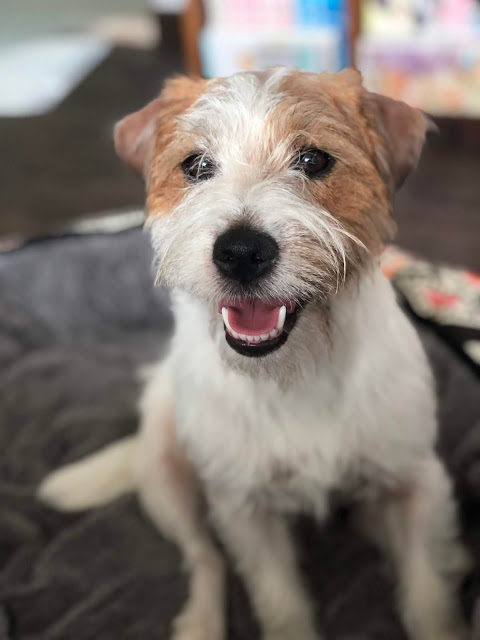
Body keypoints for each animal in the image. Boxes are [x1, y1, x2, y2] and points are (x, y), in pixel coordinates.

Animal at [39, 67, 470, 640]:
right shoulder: (245, 510)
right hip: (168, 479)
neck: (295, 372)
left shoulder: (415, 480)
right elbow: (278, 601)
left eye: (314, 160)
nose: (241, 253)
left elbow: (428, 594)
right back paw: (200, 622)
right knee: (204, 556)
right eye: (197, 165)